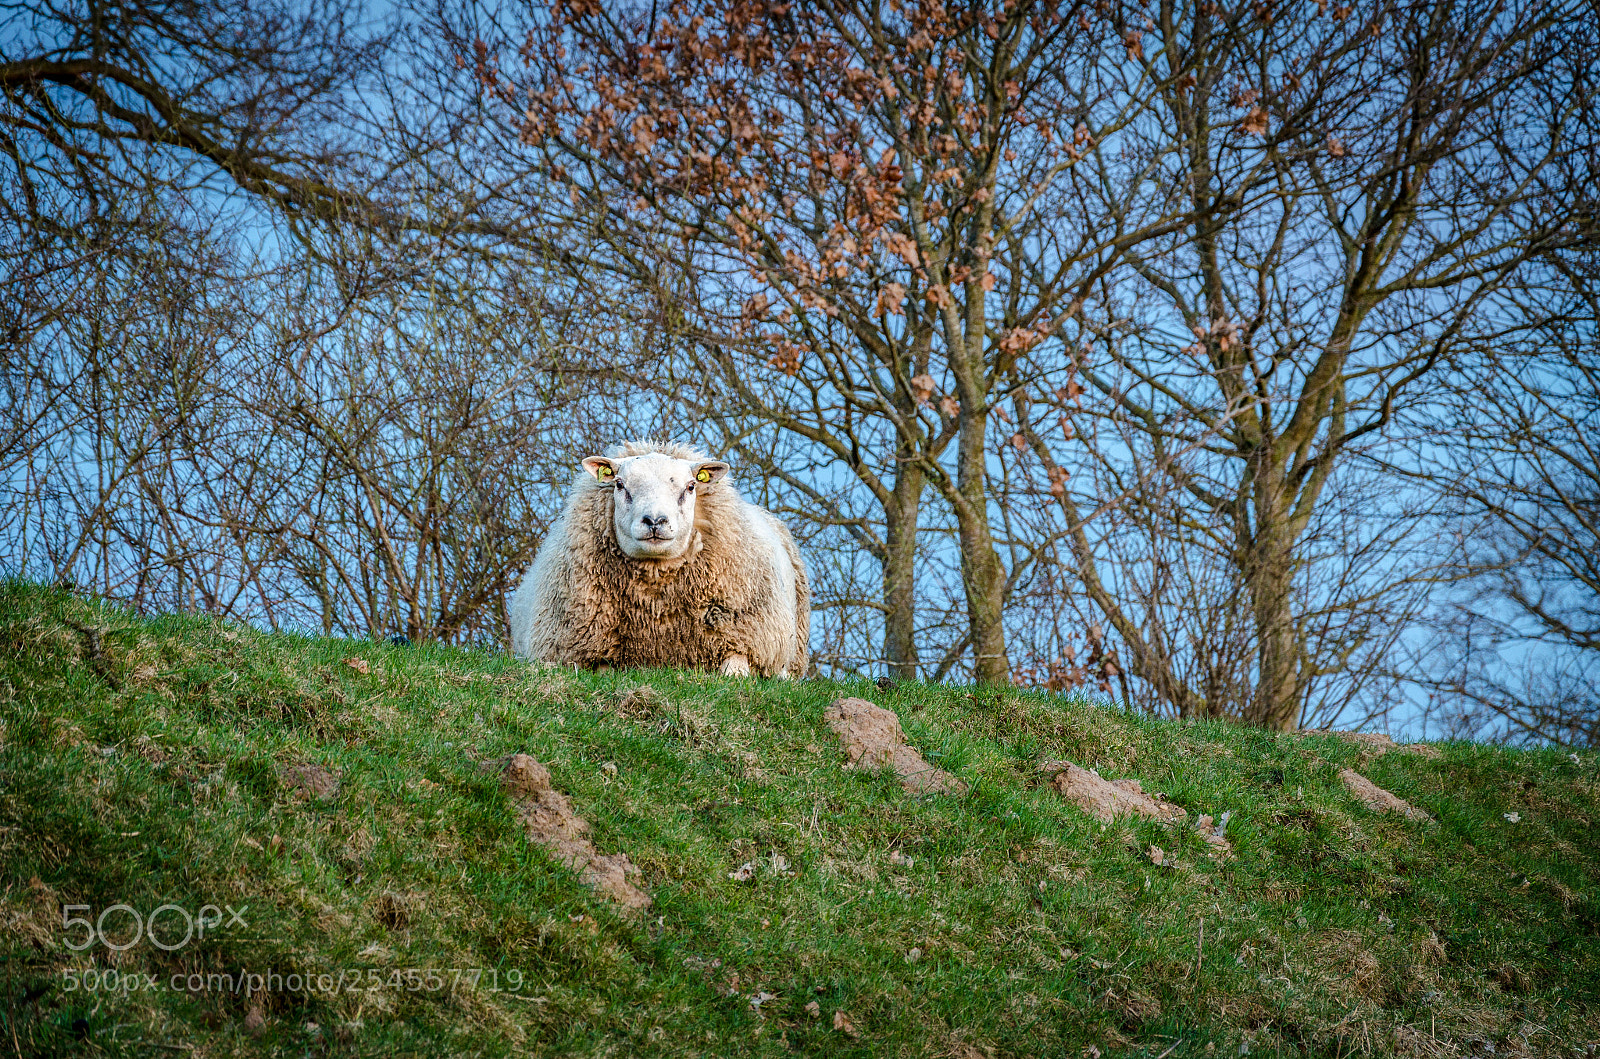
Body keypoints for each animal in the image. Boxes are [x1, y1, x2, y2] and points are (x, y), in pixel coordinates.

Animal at [509, 440, 810, 678]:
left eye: (691, 486)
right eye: (620, 484)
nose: (655, 521)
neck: (656, 609)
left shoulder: (749, 640)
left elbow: (736, 674)